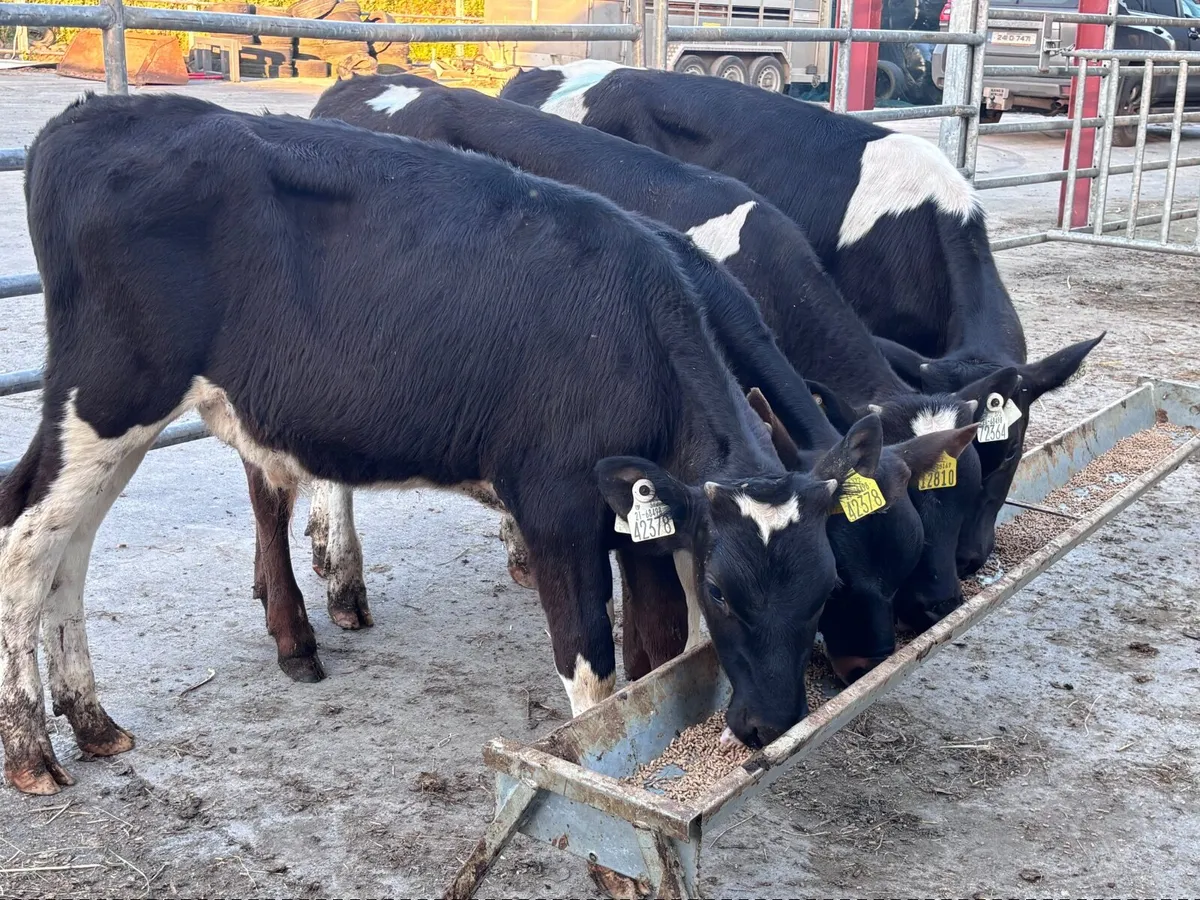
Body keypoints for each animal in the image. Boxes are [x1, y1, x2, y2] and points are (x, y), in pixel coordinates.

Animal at [0, 92, 879, 794]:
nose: (770, 724)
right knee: (27, 541)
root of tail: (89, 116)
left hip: (121, 415)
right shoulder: (557, 509)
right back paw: (32, 750)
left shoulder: (642, 517)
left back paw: (94, 722)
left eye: (826, 585)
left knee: (71, 546)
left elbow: (659, 648)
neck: (633, 321)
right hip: (110, 394)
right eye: (728, 592)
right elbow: (591, 667)